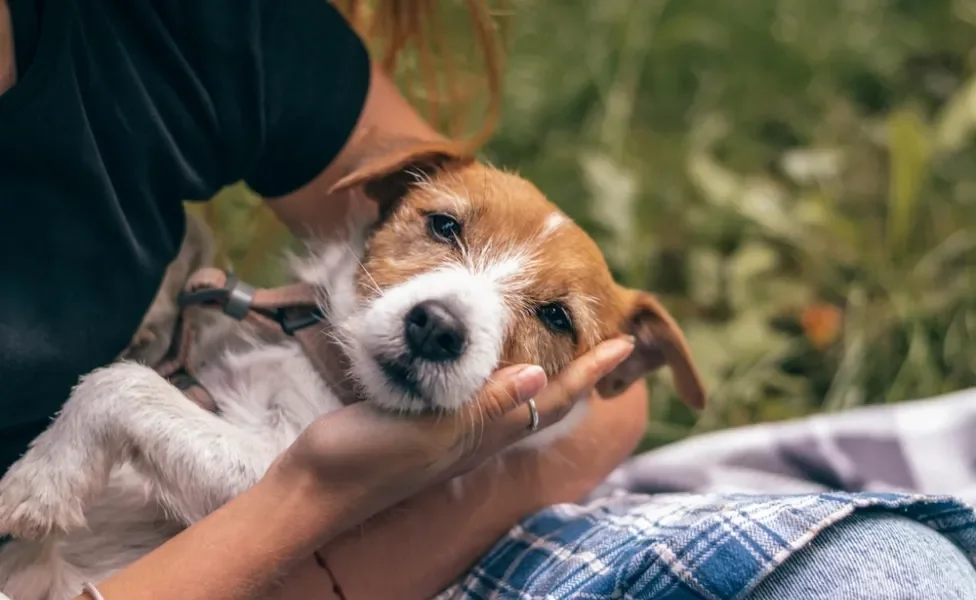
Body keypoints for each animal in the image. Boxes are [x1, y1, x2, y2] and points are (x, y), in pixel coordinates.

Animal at [0, 137, 704, 600]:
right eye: (443, 225)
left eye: (557, 317)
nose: (437, 327)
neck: (328, 368)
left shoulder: (261, 470)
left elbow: (122, 383)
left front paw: (37, 483)